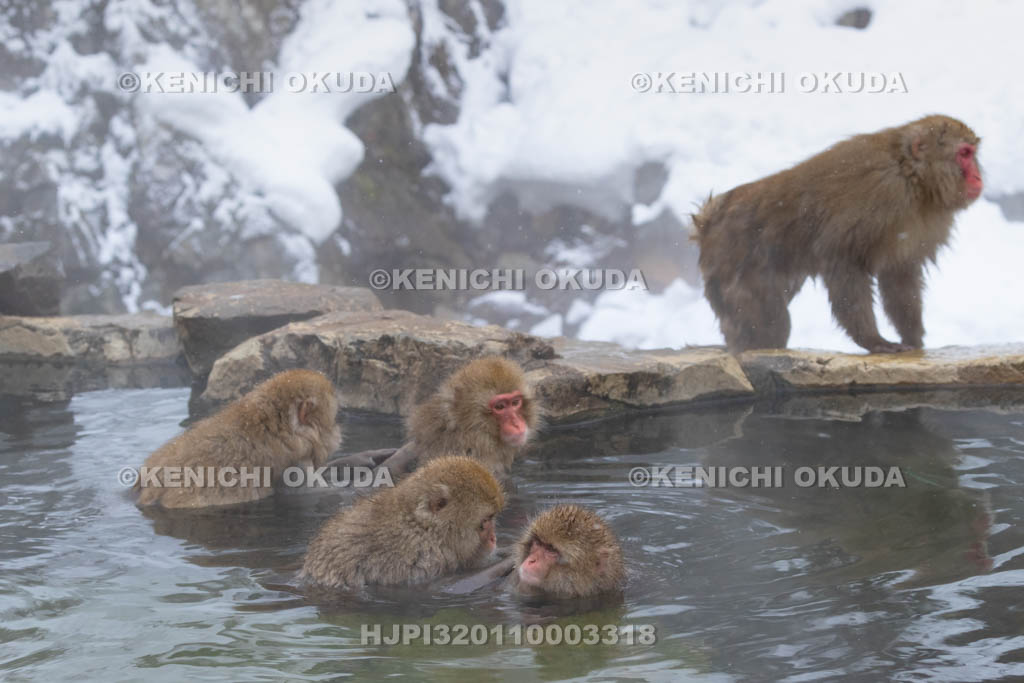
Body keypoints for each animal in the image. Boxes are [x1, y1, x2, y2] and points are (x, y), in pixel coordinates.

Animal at [693, 115, 983, 354]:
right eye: (964, 153)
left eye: (972, 153)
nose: (978, 176)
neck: (912, 178)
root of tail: (708, 219)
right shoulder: (878, 195)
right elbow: (843, 261)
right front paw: (873, 341)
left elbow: (899, 273)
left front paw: (914, 338)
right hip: (733, 269)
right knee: (767, 322)